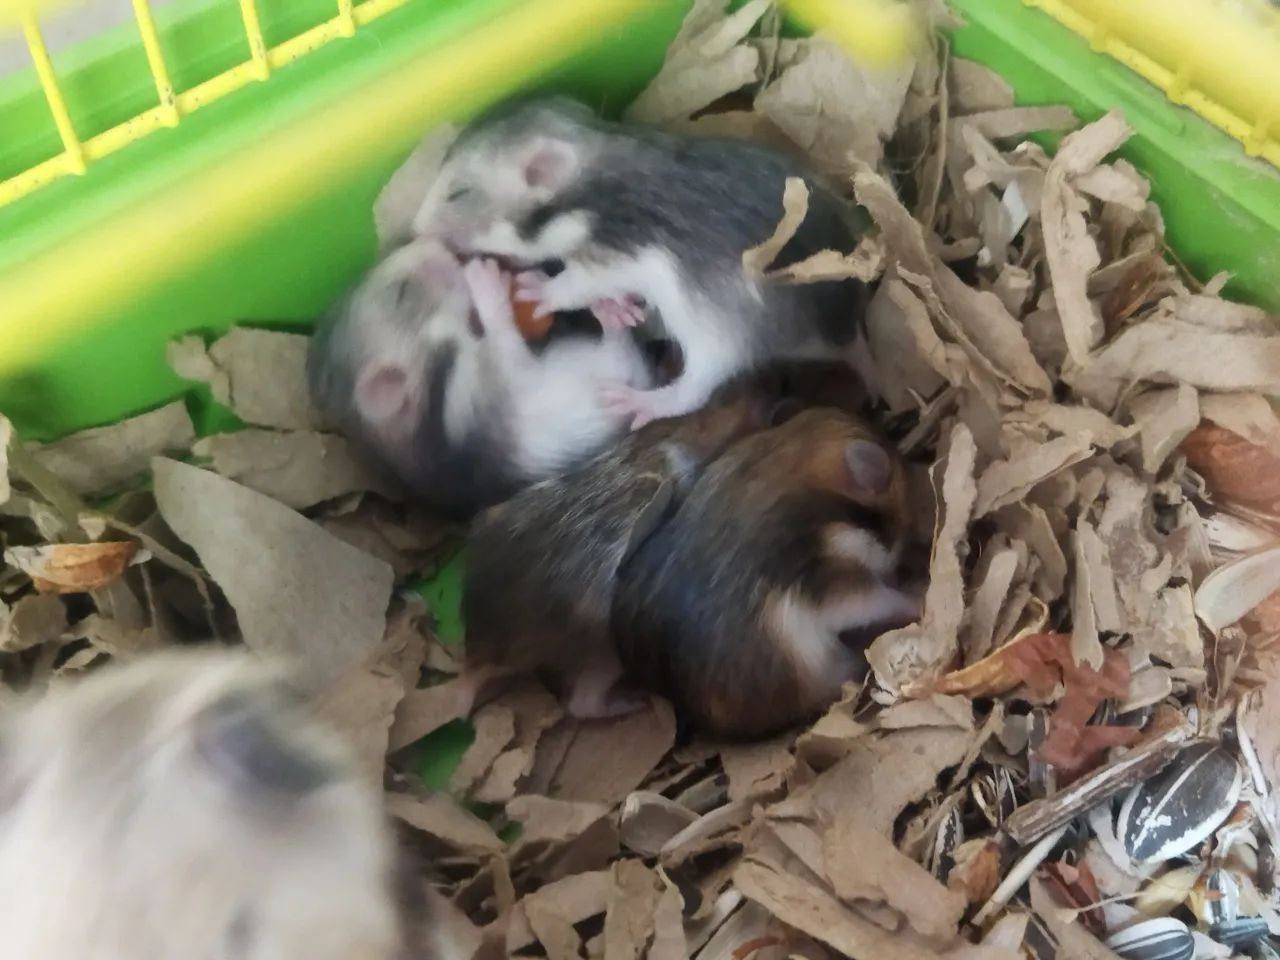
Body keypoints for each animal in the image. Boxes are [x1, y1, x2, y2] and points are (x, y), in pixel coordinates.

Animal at [308, 238, 655, 517]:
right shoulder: (491, 385)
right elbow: (504, 342)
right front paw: (484, 278)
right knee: (617, 342)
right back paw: (609, 314)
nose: (435, 240)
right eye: (402, 293)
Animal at [412, 95, 870, 431]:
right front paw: (619, 309)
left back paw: (641, 403)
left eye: (458, 193)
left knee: (693, 391)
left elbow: (573, 283)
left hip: (718, 339)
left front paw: (535, 288)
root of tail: (842, 331)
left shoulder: (610, 255)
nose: (415, 231)